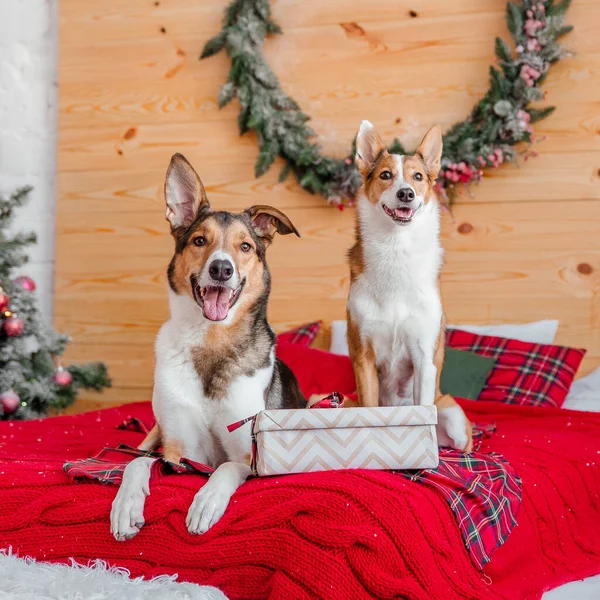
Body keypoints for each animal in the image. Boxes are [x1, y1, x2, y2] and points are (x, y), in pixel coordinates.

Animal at [110, 154, 304, 540]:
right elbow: (137, 465)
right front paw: (125, 506)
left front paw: (206, 502)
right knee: (137, 452)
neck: (211, 342)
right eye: (199, 240)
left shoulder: (248, 455)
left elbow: (225, 469)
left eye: (245, 247)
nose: (221, 269)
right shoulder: (178, 452)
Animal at [346, 120, 474, 450]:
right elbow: (368, 410)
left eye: (418, 177)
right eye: (385, 175)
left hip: (452, 416)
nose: (406, 194)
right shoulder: (363, 357)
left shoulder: (424, 360)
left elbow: (423, 408)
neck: (396, 248)